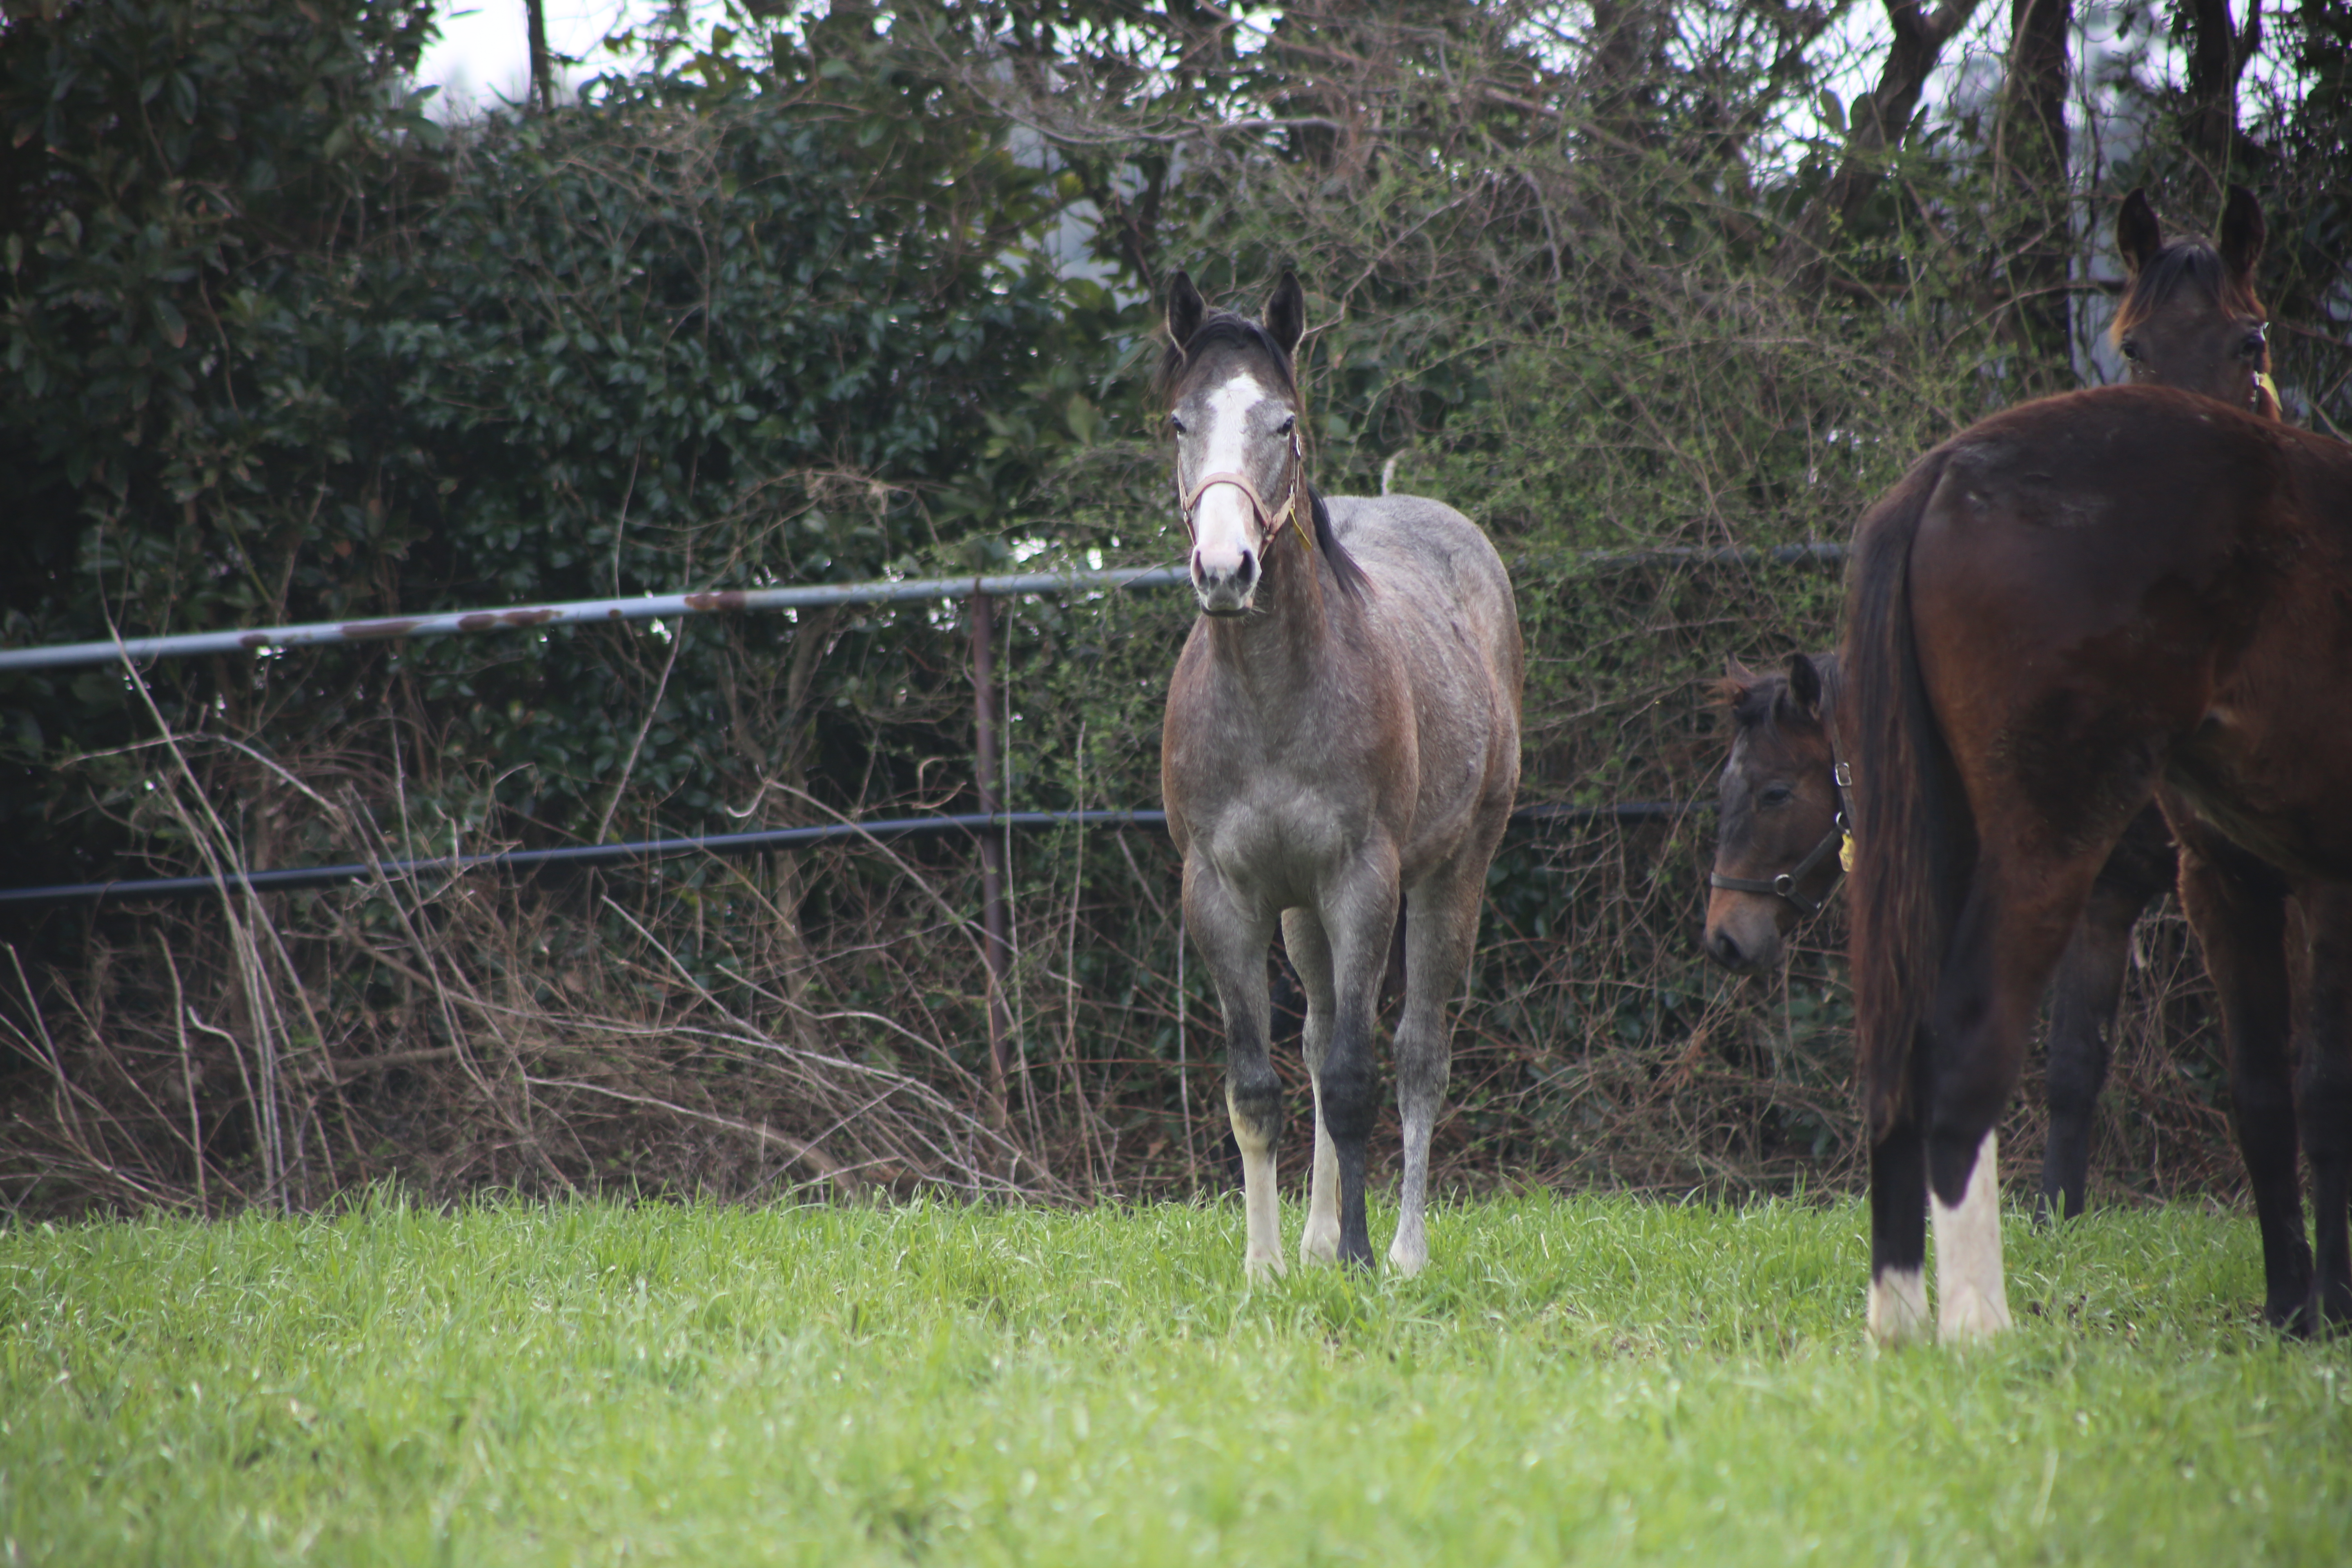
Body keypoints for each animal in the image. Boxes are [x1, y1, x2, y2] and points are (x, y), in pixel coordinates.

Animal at [1157, 270, 1524, 1278]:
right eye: (1178, 422)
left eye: (1283, 423)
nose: (1226, 569)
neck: (1272, 700)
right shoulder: (1225, 894)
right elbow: (1258, 1084)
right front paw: (1267, 1266)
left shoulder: (1363, 882)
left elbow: (1361, 1076)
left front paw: (1361, 1261)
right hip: (1298, 914)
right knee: (1320, 1037)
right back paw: (1317, 1238)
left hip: (1452, 873)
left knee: (1418, 1052)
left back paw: (1402, 1250)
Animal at [1844, 383, 2352, 1354]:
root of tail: (1942, 475)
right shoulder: (2317, 882)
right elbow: (2324, 1093)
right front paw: (2331, 1307)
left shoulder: (2235, 882)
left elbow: (2269, 1095)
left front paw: (2295, 1308)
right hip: (2051, 835)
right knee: (1967, 1036)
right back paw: (1980, 1325)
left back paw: (1901, 1317)